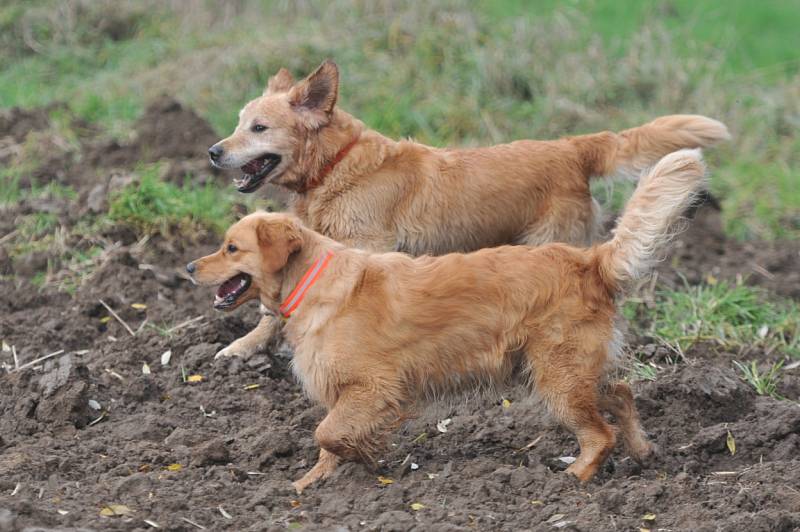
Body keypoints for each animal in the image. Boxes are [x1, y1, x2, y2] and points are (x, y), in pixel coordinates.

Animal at [188, 148, 708, 492]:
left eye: (232, 247)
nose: (189, 267)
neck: (314, 278)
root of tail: (590, 260)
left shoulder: (372, 386)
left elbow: (327, 433)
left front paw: (360, 457)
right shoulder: (348, 392)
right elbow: (326, 441)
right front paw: (309, 482)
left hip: (558, 373)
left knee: (600, 433)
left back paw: (574, 476)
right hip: (562, 369)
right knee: (620, 393)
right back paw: (642, 449)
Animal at [209, 59, 728, 358]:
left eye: (258, 128)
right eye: (237, 123)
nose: (213, 151)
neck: (337, 165)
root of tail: (571, 147)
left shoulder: (367, 252)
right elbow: (270, 309)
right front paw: (244, 346)